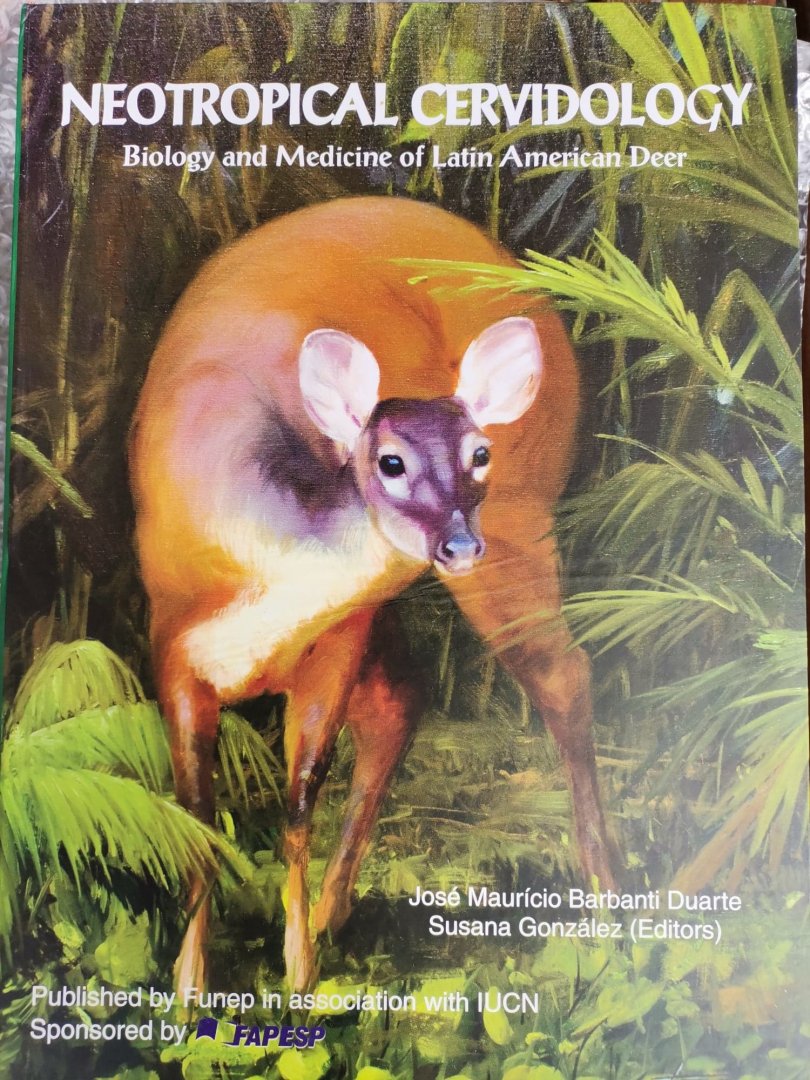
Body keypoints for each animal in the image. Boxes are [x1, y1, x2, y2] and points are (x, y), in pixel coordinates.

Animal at [129, 195, 614, 997]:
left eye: (479, 453)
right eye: (390, 462)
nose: (458, 543)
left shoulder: (335, 638)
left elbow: (299, 796)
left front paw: (296, 973)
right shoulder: (170, 642)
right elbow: (196, 815)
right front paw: (191, 985)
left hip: (522, 516)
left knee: (562, 674)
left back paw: (609, 899)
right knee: (406, 698)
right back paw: (338, 909)